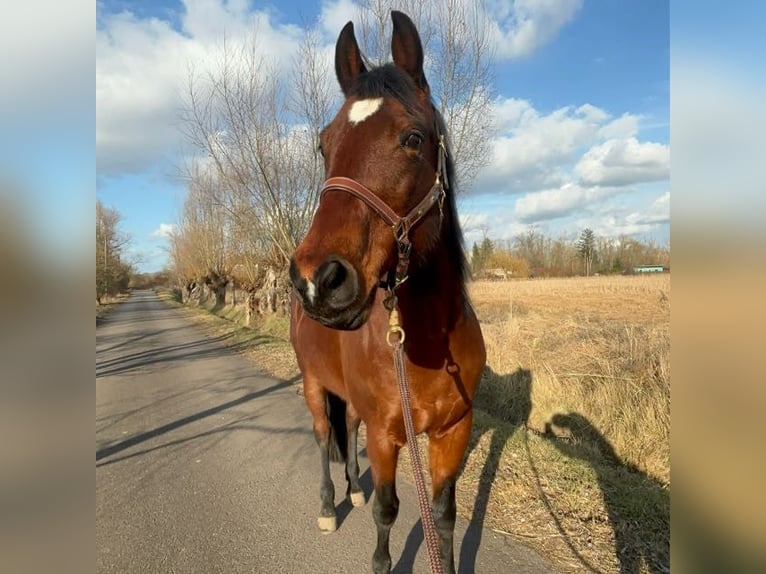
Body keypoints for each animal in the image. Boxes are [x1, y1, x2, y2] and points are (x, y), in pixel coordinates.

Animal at [289, 11, 486, 574]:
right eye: (323, 144)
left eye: (413, 138)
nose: (317, 280)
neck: (429, 338)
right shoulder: (386, 435)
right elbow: (389, 510)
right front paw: (380, 559)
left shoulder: (451, 432)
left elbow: (443, 514)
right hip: (313, 386)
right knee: (323, 437)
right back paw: (330, 506)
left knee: (347, 427)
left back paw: (351, 491)